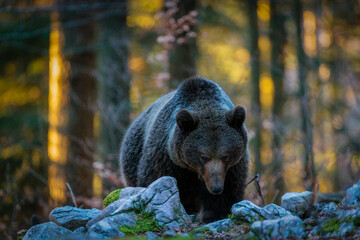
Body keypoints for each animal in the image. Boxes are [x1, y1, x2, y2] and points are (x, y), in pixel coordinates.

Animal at [119, 78, 249, 222]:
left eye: (225, 156)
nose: (216, 187)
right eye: (203, 156)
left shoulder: (234, 167)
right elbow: (154, 181)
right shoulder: (165, 159)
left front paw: (214, 213)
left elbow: (230, 190)